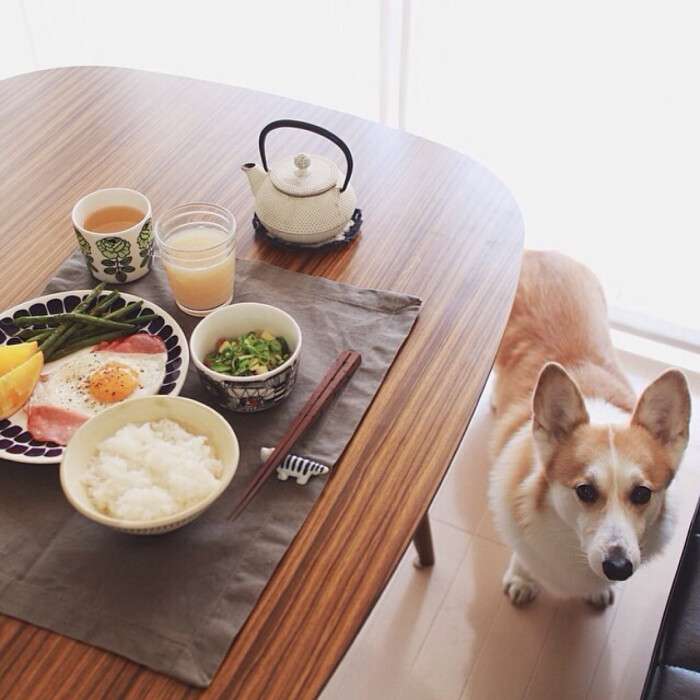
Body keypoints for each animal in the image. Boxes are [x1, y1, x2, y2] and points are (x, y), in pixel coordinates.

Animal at [490, 252, 692, 608]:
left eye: (642, 494)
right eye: (585, 491)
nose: (618, 567)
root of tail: (541, 253)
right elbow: (526, 557)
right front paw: (522, 579)